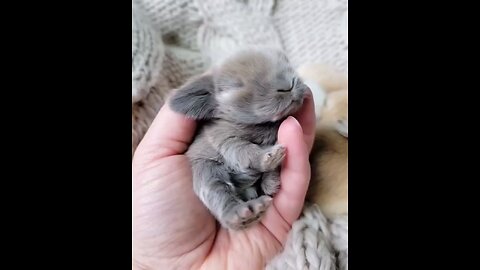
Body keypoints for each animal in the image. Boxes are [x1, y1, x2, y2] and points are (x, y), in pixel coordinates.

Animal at [171, 49, 310, 230]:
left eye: (283, 62)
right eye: (237, 85)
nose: (289, 84)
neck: (263, 125)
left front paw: (270, 183)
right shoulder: (225, 139)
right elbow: (245, 152)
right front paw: (269, 158)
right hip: (207, 172)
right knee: (221, 199)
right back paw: (247, 212)